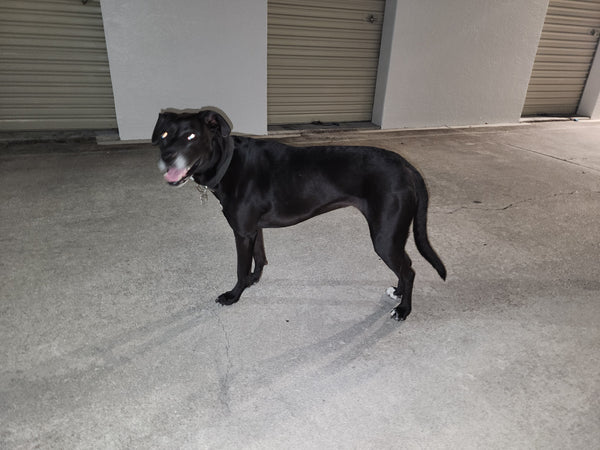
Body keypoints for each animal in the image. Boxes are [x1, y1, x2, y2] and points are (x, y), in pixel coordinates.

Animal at [154, 109, 446, 320]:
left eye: (192, 137)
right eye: (165, 133)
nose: (167, 157)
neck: (228, 162)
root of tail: (406, 165)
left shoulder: (242, 232)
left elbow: (240, 269)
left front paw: (234, 295)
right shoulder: (253, 230)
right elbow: (259, 258)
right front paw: (253, 281)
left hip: (385, 237)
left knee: (409, 270)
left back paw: (404, 309)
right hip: (392, 237)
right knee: (405, 267)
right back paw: (398, 292)